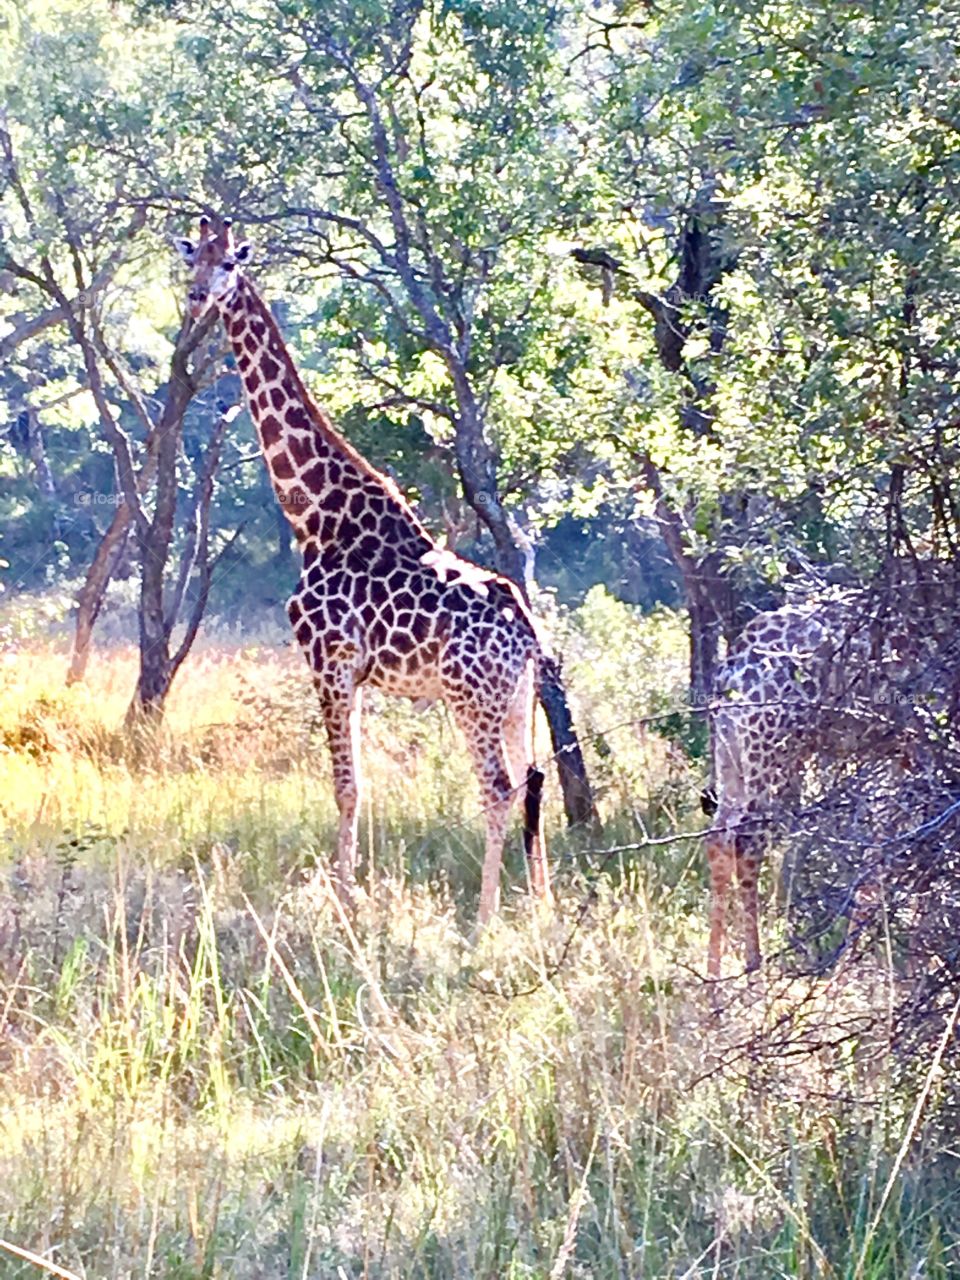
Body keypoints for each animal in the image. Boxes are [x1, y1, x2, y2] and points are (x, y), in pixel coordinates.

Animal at [174, 217, 551, 919]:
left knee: (497, 786)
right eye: (195, 259)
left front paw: (346, 901)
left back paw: (485, 919)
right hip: (517, 699)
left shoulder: (330, 661)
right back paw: (542, 908)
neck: (315, 514)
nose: (197, 297)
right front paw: (352, 893)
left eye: (231, 263)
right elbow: (360, 784)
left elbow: (345, 786)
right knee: (535, 778)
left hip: (471, 696)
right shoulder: (357, 672)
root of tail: (525, 632)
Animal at [703, 573, 960, 982]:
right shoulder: (927, 743)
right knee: (747, 841)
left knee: (718, 837)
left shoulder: (902, 752)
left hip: (730, 754)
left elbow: (884, 852)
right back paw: (753, 972)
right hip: (771, 750)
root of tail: (731, 666)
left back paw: (712, 980)